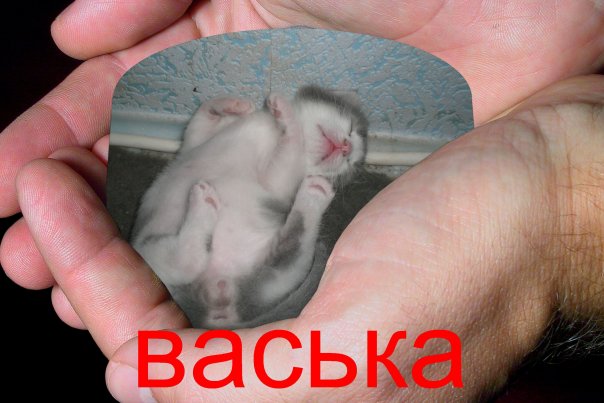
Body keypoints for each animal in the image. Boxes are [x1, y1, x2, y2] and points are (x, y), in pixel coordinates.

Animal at [132, 85, 368, 328]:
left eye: (349, 166)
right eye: (352, 128)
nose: (347, 148)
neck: (272, 133)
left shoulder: (278, 184)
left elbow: (292, 148)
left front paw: (285, 113)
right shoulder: (194, 145)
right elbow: (198, 124)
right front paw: (234, 105)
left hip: (274, 277)